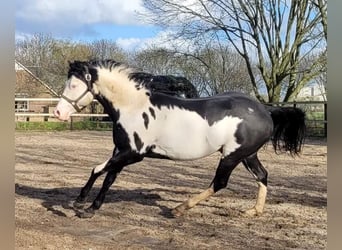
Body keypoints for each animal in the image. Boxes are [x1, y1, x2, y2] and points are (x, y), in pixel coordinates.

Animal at [54, 60, 306, 219]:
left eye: (74, 84)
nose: (58, 113)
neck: (132, 107)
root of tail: (265, 110)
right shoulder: (121, 151)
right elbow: (108, 178)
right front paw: (90, 208)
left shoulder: (134, 154)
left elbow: (97, 169)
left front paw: (79, 202)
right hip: (248, 155)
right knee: (262, 175)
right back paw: (254, 211)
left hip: (231, 156)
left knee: (219, 183)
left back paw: (178, 209)